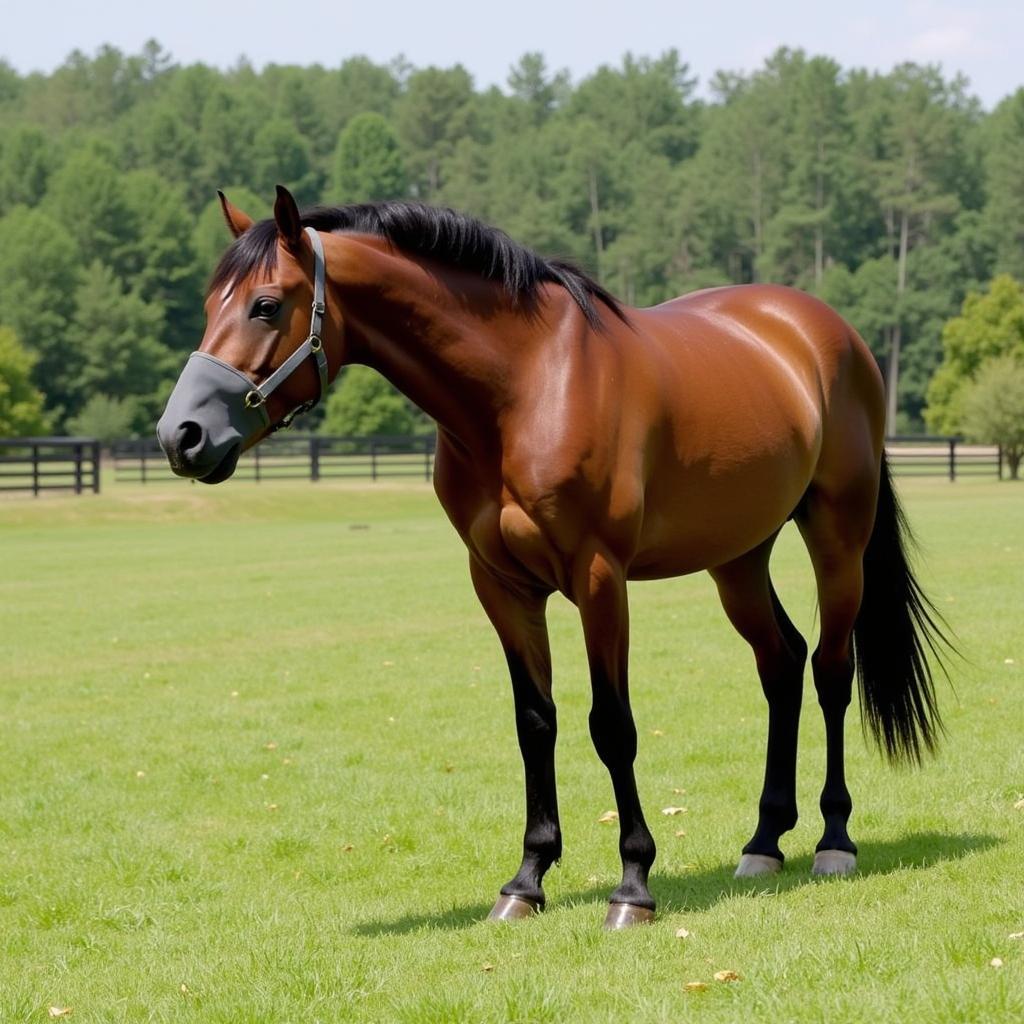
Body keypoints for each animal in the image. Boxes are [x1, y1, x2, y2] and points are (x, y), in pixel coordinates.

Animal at [155, 184, 946, 929]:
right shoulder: (500, 584)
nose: (181, 436)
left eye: (264, 306)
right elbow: (534, 722)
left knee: (832, 672)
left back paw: (833, 841)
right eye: (210, 303)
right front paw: (526, 881)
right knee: (781, 665)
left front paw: (633, 888)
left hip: (838, 538)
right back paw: (763, 843)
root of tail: (821, 328)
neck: (526, 387)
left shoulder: (599, 578)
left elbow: (612, 726)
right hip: (738, 556)